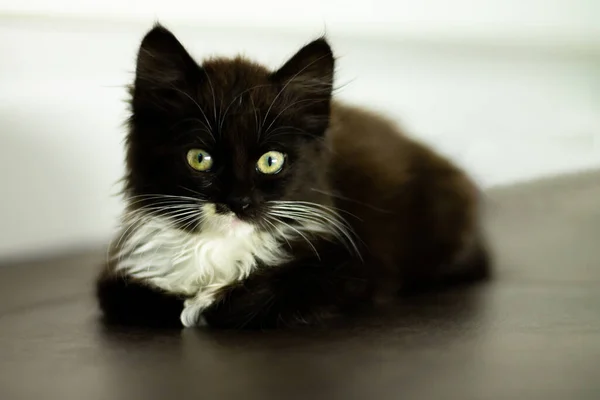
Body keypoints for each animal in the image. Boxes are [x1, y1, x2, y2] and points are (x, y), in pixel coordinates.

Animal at [96, 25, 492, 330]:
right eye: (199, 158)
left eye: (271, 161)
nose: (238, 202)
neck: (219, 248)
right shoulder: (119, 273)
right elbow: (130, 298)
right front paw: (189, 304)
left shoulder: (356, 267)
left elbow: (259, 297)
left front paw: (203, 306)